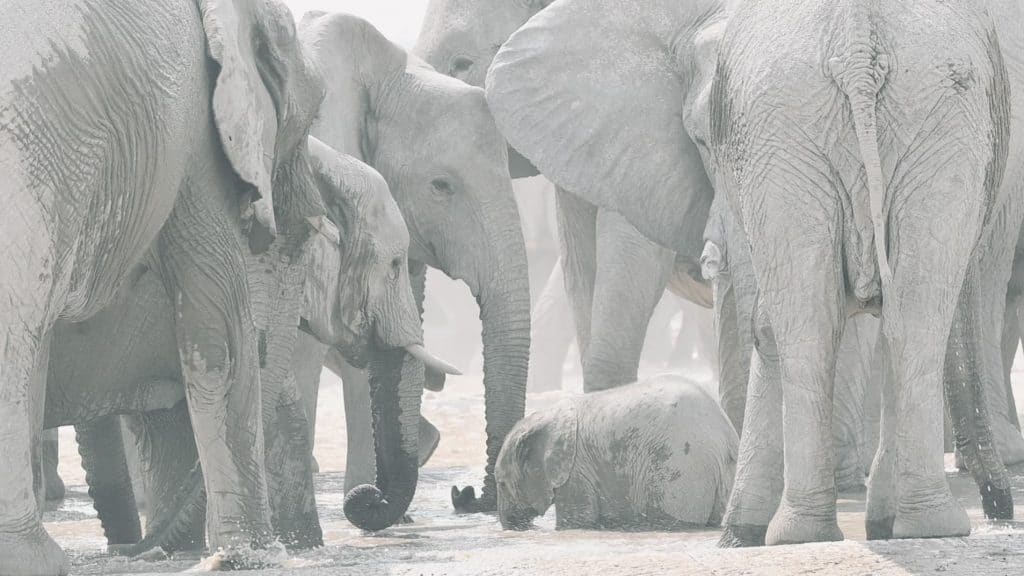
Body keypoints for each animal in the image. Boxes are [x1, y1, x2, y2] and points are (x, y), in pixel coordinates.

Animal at [496, 374, 737, 531]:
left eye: (502, 483)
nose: (521, 528)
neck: (544, 417)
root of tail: (727, 437)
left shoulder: (575, 470)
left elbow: (577, 521)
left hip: (681, 466)